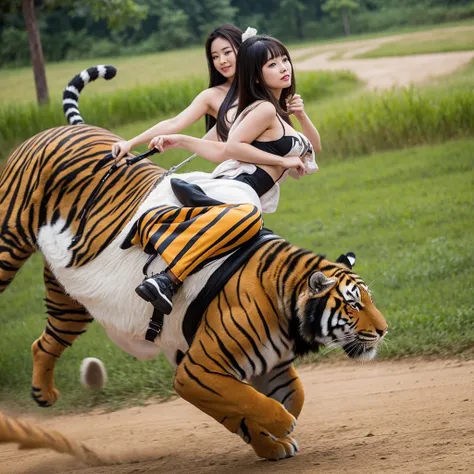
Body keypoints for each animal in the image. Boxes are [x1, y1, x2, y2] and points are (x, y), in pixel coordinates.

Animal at [0, 65, 386, 460]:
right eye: (353, 305)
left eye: (369, 300)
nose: (384, 330)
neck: (284, 300)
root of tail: (59, 129)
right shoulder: (198, 369)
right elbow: (253, 403)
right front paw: (278, 430)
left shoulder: (268, 364)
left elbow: (285, 398)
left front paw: (268, 442)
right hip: (9, 240)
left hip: (71, 299)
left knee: (44, 342)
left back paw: (43, 394)